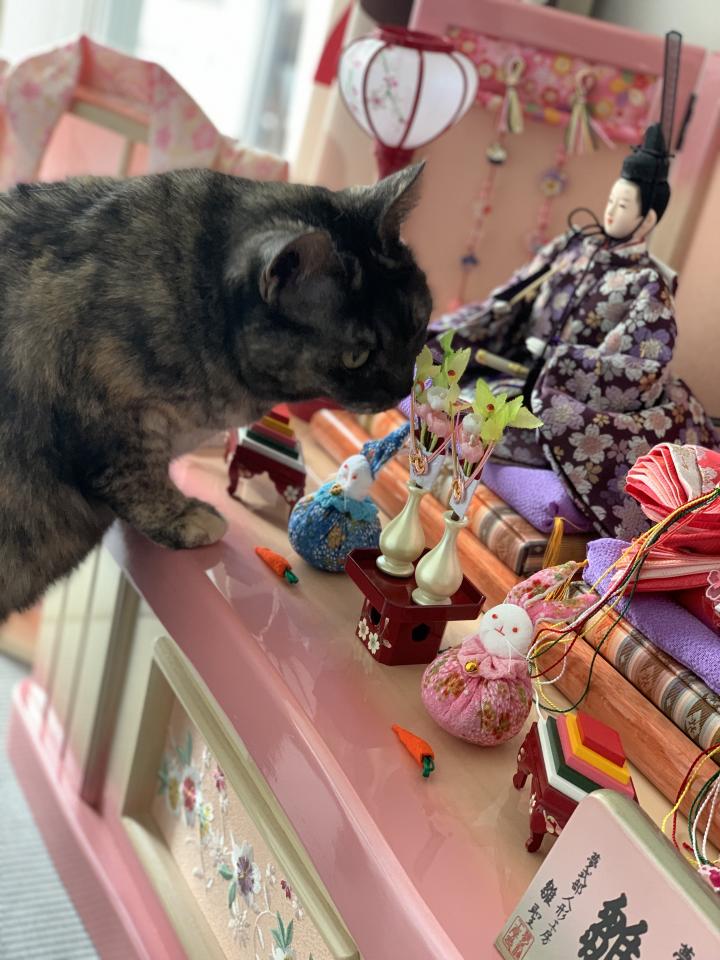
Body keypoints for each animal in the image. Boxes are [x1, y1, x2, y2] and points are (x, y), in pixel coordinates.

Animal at [0, 163, 431, 619]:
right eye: (355, 357)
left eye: (417, 324)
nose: (402, 386)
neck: (191, 285)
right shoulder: (105, 409)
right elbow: (135, 475)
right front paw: (185, 515)